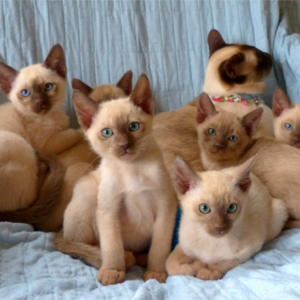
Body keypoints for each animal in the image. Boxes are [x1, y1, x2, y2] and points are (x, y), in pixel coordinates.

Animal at [54, 74, 177, 284]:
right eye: (107, 133)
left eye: (133, 127)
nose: (124, 146)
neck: (132, 169)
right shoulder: (108, 210)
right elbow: (112, 246)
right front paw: (112, 271)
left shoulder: (165, 208)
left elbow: (159, 247)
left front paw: (155, 273)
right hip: (89, 192)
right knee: (80, 244)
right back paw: (124, 257)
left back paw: (140, 258)